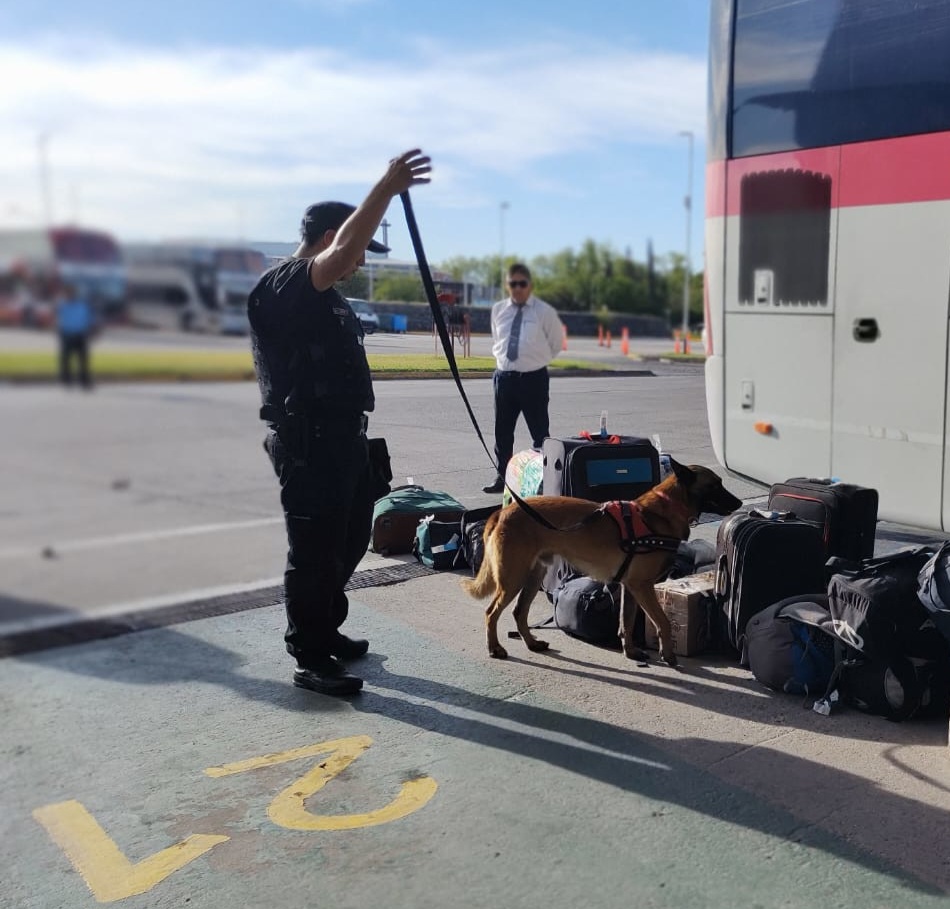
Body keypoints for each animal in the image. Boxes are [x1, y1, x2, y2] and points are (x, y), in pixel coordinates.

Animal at [462, 464, 744, 664]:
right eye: (715, 485)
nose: (740, 503)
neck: (659, 513)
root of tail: (503, 511)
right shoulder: (642, 586)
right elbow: (662, 621)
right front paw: (668, 654)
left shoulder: (631, 588)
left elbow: (626, 621)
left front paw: (631, 651)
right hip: (513, 579)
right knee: (491, 612)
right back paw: (495, 648)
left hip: (531, 577)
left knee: (519, 612)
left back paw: (532, 643)